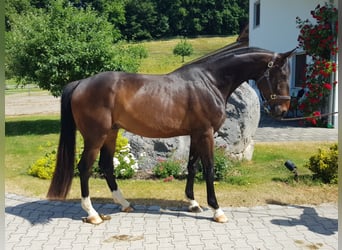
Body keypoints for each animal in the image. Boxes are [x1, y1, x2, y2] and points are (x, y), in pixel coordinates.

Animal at [47, 46, 294, 224]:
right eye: (280, 75)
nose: (282, 110)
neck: (210, 82)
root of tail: (81, 83)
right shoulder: (206, 133)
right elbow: (209, 168)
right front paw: (217, 210)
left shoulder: (196, 134)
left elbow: (192, 166)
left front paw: (193, 203)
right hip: (95, 137)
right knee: (85, 168)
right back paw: (92, 214)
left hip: (111, 133)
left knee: (106, 165)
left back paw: (124, 203)